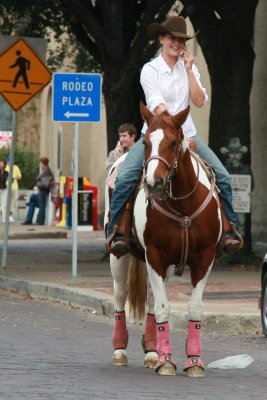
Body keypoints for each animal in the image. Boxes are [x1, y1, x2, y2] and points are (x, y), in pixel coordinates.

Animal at [105, 103, 223, 378]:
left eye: (173, 142)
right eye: (146, 142)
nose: (152, 183)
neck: (183, 206)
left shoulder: (205, 259)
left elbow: (193, 308)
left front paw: (193, 360)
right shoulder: (155, 255)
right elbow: (162, 308)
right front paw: (167, 360)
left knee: (149, 298)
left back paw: (151, 352)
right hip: (120, 255)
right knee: (120, 296)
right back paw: (120, 350)